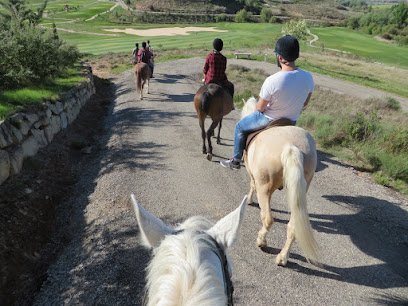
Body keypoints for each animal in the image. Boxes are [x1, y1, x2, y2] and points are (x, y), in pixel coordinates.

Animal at [242, 97, 318, 266]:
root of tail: (292, 146)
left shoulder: (254, 176)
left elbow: (252, 185)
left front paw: (249, 200)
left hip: (264, 186)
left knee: (268, 218)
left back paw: (262, 241)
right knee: (293, 227)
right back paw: (282, 258)